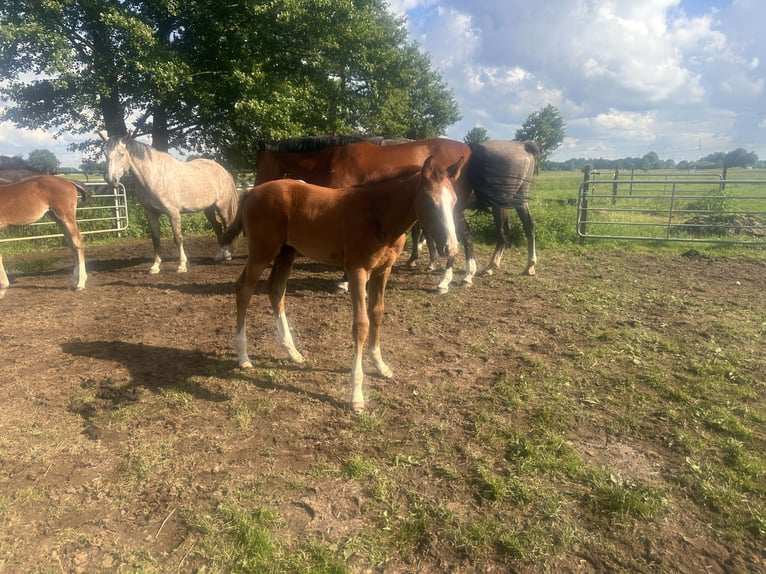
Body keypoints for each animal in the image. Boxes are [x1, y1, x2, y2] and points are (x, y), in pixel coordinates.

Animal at [222, 155, 462, 412]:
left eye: (454, 201)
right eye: (429, 199)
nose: (450, 247)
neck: (378, 214)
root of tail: (251, 192)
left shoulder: (383, 271)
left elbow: (377, 313)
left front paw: (380, 365)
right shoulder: (357, 270)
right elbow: (361, 325)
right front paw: (357, 394)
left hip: (286, 252)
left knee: (276, 291)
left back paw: (293, 353)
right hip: (261, 252)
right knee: (244, 289)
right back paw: (243, 357)